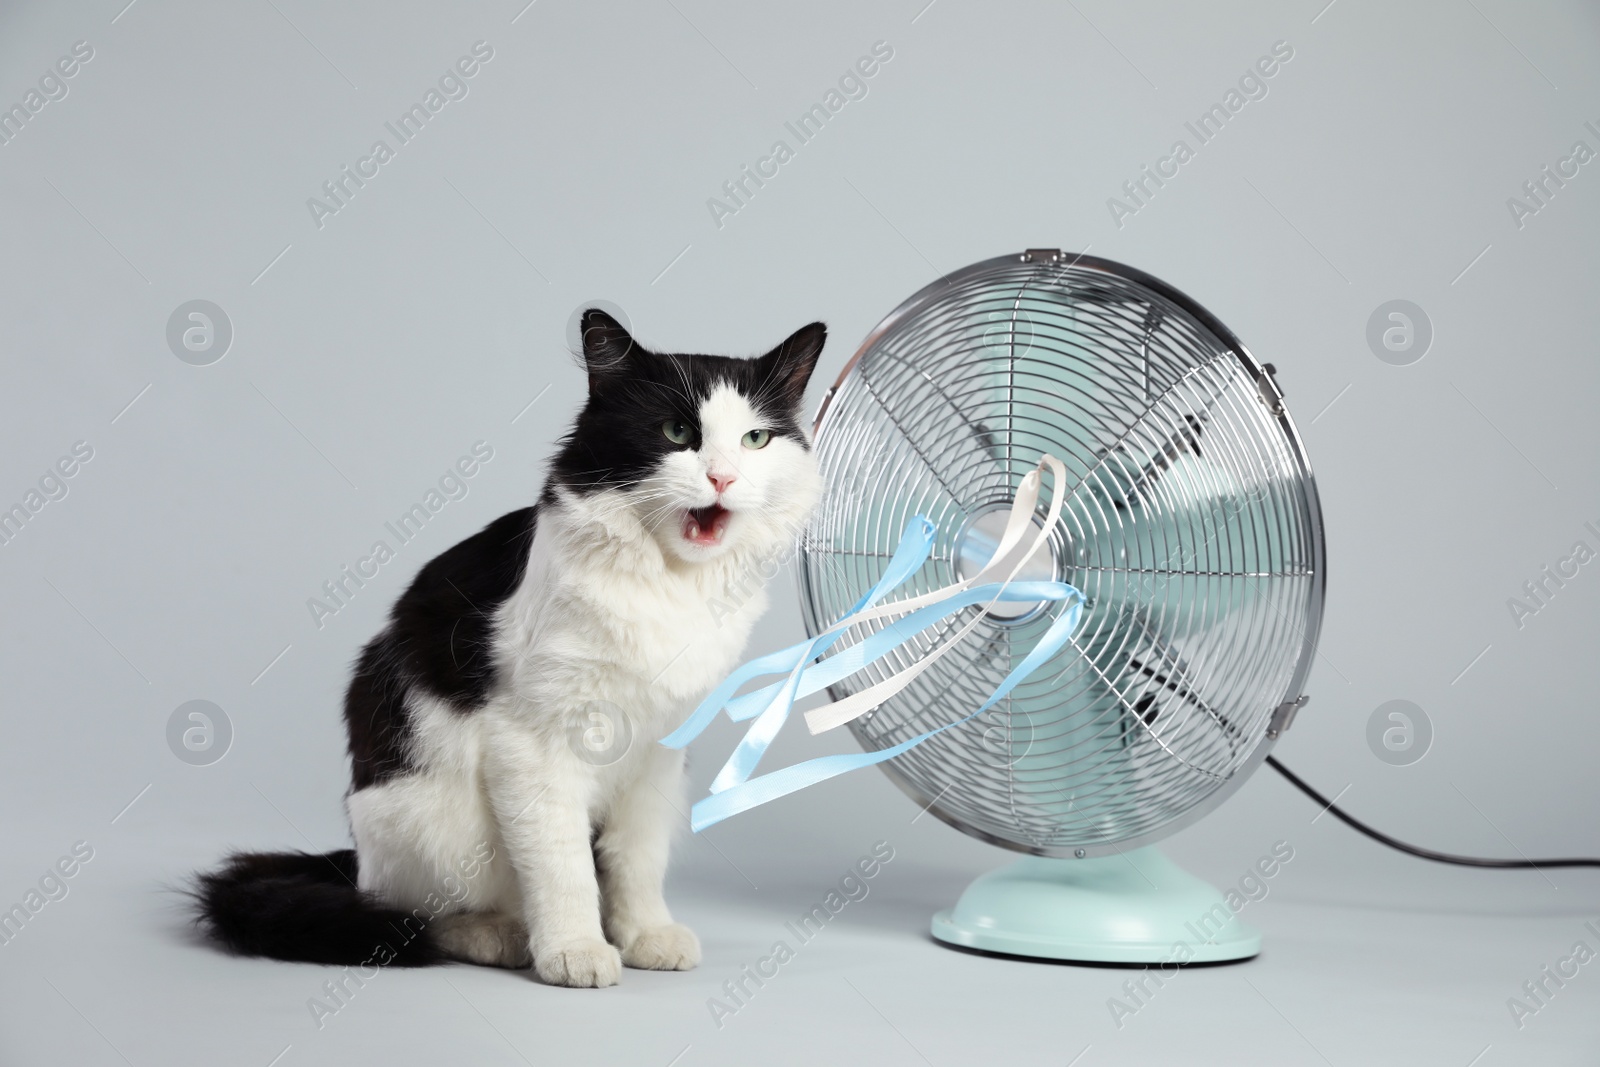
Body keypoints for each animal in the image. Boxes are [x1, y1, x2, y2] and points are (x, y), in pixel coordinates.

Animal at [195, 313, 825, 991]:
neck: (672, 585)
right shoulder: (536, 743)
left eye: (756, 439)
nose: (722, 478)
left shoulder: (658, 749)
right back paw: (499, 936)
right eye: (677, 432)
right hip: (430, 814)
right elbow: (562, 863)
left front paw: (644, 934)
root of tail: (355, 857)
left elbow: (636, 857)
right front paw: (575, 949)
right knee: (417, 915)